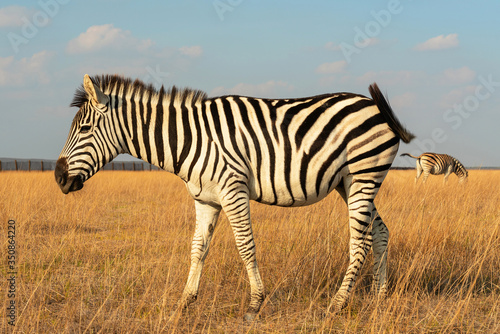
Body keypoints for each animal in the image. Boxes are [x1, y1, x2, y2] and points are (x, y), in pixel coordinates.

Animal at [54, 74, 414, 320]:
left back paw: (337, 304)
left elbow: (245, 245)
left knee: (360, 242)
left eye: (84, 129)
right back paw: (380, 297)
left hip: (363, 175)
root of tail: (377, 108)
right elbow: (198, 249)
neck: (191, 139)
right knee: (380, 232)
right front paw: (185, 301)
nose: (58, 177)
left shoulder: (233, 190)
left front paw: (255, 303)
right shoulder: (205, 199)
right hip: (350, 183)